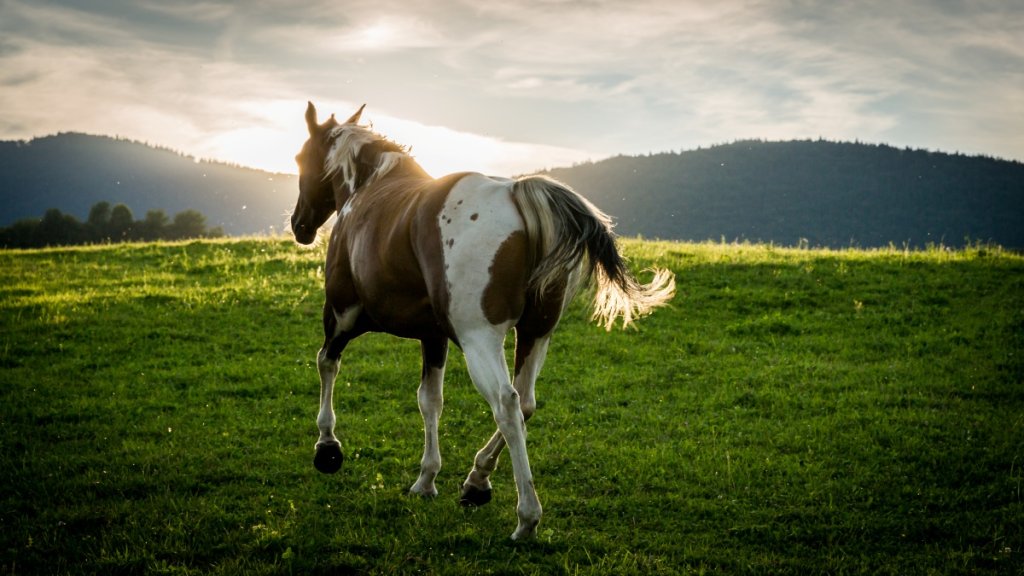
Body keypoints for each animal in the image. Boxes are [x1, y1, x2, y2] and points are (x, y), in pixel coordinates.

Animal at [289, 101, 675, 540]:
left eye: (301, 158)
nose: (299, 225)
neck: (370, 187)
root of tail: (519, 195)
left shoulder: (341, 314)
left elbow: (326, 363)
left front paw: (327, 446)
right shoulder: (434, 337)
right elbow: (430, 400)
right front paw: (427, 478)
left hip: (480, 340)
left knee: (507, 405)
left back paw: (526, 517)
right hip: (536, 334)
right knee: (525, 401)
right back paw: (477, 480)